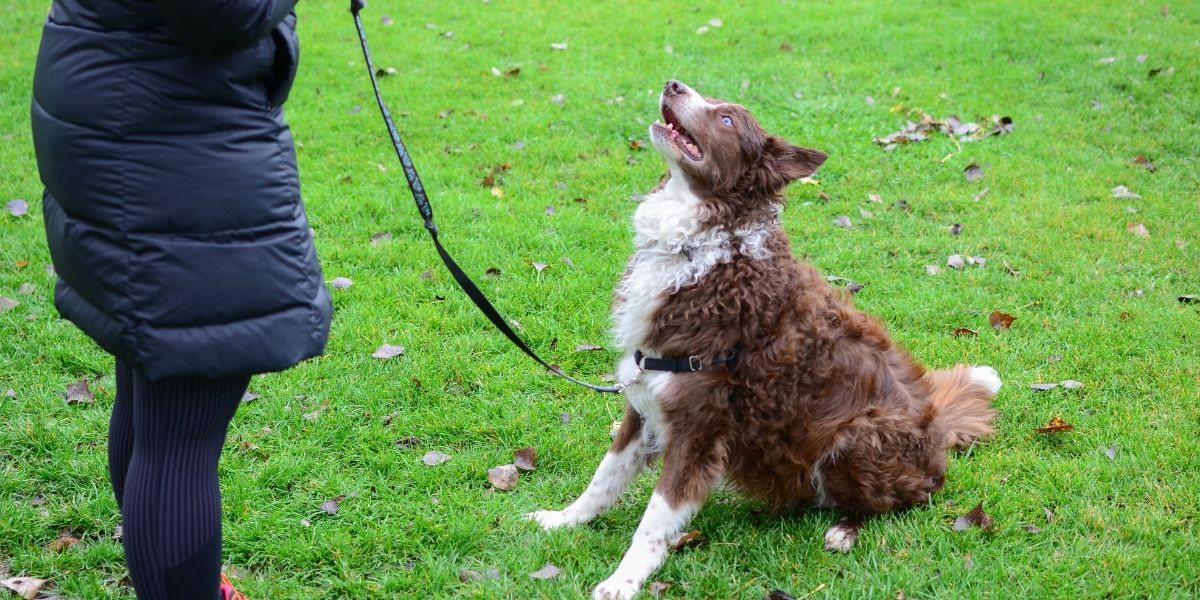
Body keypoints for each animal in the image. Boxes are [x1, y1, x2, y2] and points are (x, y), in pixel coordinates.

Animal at [525, 81, 1003, 600]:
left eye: (727, 119)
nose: (673, 85)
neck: (703, 247)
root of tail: (938, 426)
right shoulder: (644, 400)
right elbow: (604, 478)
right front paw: (563, 520)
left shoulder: (698, 427)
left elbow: (653, 520)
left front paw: (622, 581)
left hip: (856, 437)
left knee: (904, 499)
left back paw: (843, 530)